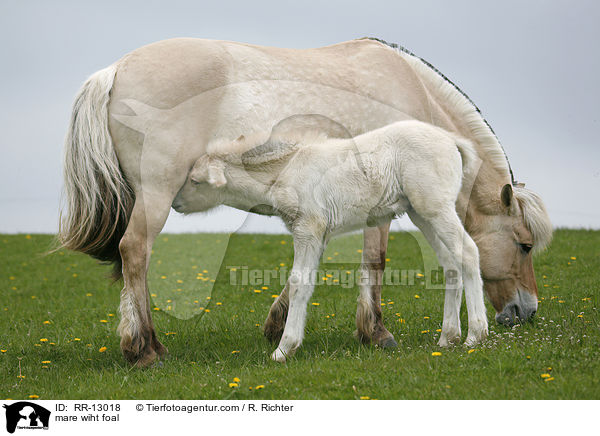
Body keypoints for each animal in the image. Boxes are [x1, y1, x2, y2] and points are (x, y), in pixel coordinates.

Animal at [177, 119, 488, 362]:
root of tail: (451, 140)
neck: (285, 171)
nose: (176, 203)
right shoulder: (317, 234)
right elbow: (302, 283)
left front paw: (283, 349)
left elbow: (300, 282)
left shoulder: (308, 227)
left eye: (195, 181)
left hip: (436, 207)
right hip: (420, 212)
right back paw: (448, 337)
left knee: (468, 253)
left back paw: (476, 335)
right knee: (451, 262)